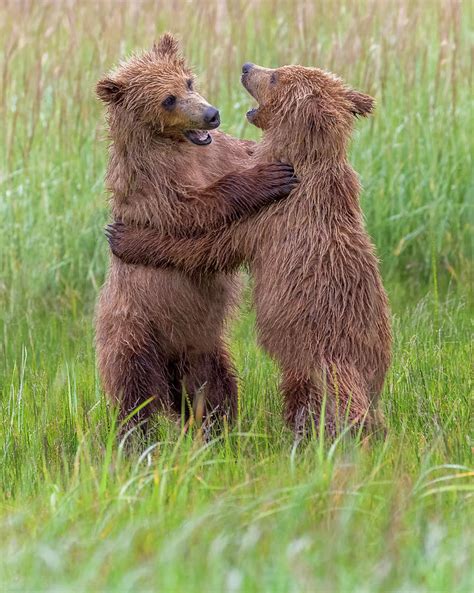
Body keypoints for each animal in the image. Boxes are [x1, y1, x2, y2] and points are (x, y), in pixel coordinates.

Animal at [94, 37, 298, 428]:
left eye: (188, 82)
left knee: (215, 387)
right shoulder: (152, 188)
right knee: (135, 393)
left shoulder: (217, 153)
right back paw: (137, 433)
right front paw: (268, 177)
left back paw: (220, 427)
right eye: (167, 99)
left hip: (202, 345)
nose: (211, 114)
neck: (176, 146)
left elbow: (237, 154)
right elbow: (193, 210)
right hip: (132, 330)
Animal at [107, 62, 392, 438]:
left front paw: (125, 237)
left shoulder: (267, 218)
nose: (246, 67)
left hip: (315, 354)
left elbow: (207, 246)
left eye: (274, 76)